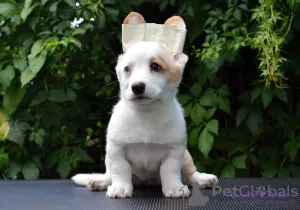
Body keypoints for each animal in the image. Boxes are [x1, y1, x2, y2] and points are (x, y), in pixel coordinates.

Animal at [72, 11, 218, 199]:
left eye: (155, 66)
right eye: (127, 69)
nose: (137, 87)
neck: (146, 113)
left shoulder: (175, 151)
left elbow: (170, 171)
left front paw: (174, 188)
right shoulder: (116, 150)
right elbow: (121, 171)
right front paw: (120, 188)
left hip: (186, 157)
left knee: (190, 174)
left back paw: (203, 179)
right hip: (108, 159)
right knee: (109, 174)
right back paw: (99, 181)